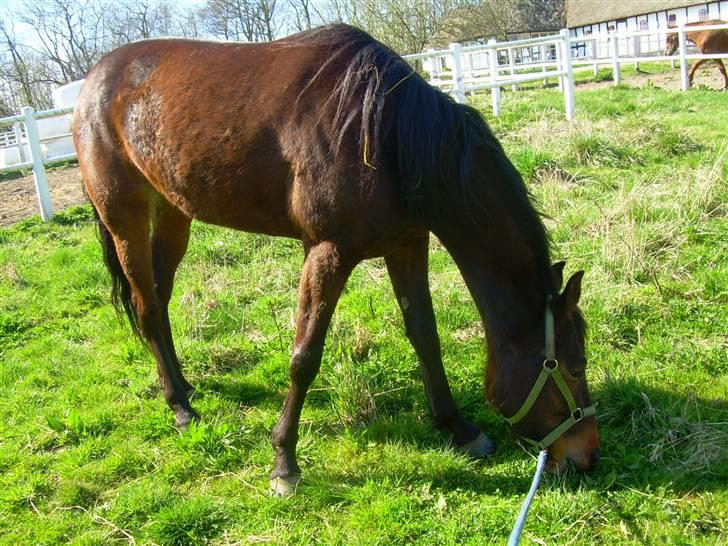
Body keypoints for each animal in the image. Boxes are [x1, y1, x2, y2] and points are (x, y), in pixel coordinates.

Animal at [72, 24, 596, 492]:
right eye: (573, 368)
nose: (585, 456)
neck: (385, 133)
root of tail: (94, 80)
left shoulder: (408, 244)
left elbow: (425, 337)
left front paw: (458, 428)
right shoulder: (328, 252)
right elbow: (305, 355)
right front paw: (284, 462)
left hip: (174, 214)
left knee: (159, 301)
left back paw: (182, 387)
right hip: (124, 218)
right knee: (147, 307)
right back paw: (180, 406)